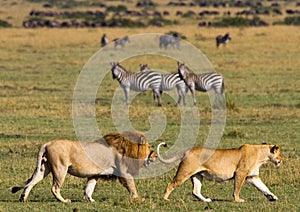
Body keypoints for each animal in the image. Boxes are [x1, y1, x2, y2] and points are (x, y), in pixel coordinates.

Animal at [11, 132, 157, 203]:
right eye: (150, 147)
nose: (155, 155)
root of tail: (47, 143)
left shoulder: (95, 174)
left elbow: (89, 187)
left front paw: (89, 200)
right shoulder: (123, 172)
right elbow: (132, 186)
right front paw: (139, 199)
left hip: (43, 168)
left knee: (30, 181)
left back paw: (23, 198)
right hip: (60, 168)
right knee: (54, 188)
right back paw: (64, 201)